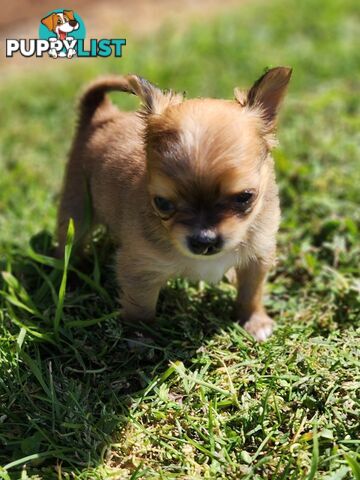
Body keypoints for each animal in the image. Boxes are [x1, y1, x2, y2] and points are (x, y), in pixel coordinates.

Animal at [57, 67, 292, 342]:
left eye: (245, 197)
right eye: (162, 203)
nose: (204, 240)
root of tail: (102, 115)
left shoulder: (258, 257)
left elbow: (251, 292)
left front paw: (254, 321)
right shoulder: (140, 269)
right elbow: (140, 308)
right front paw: (141, 338)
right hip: (76, 209)